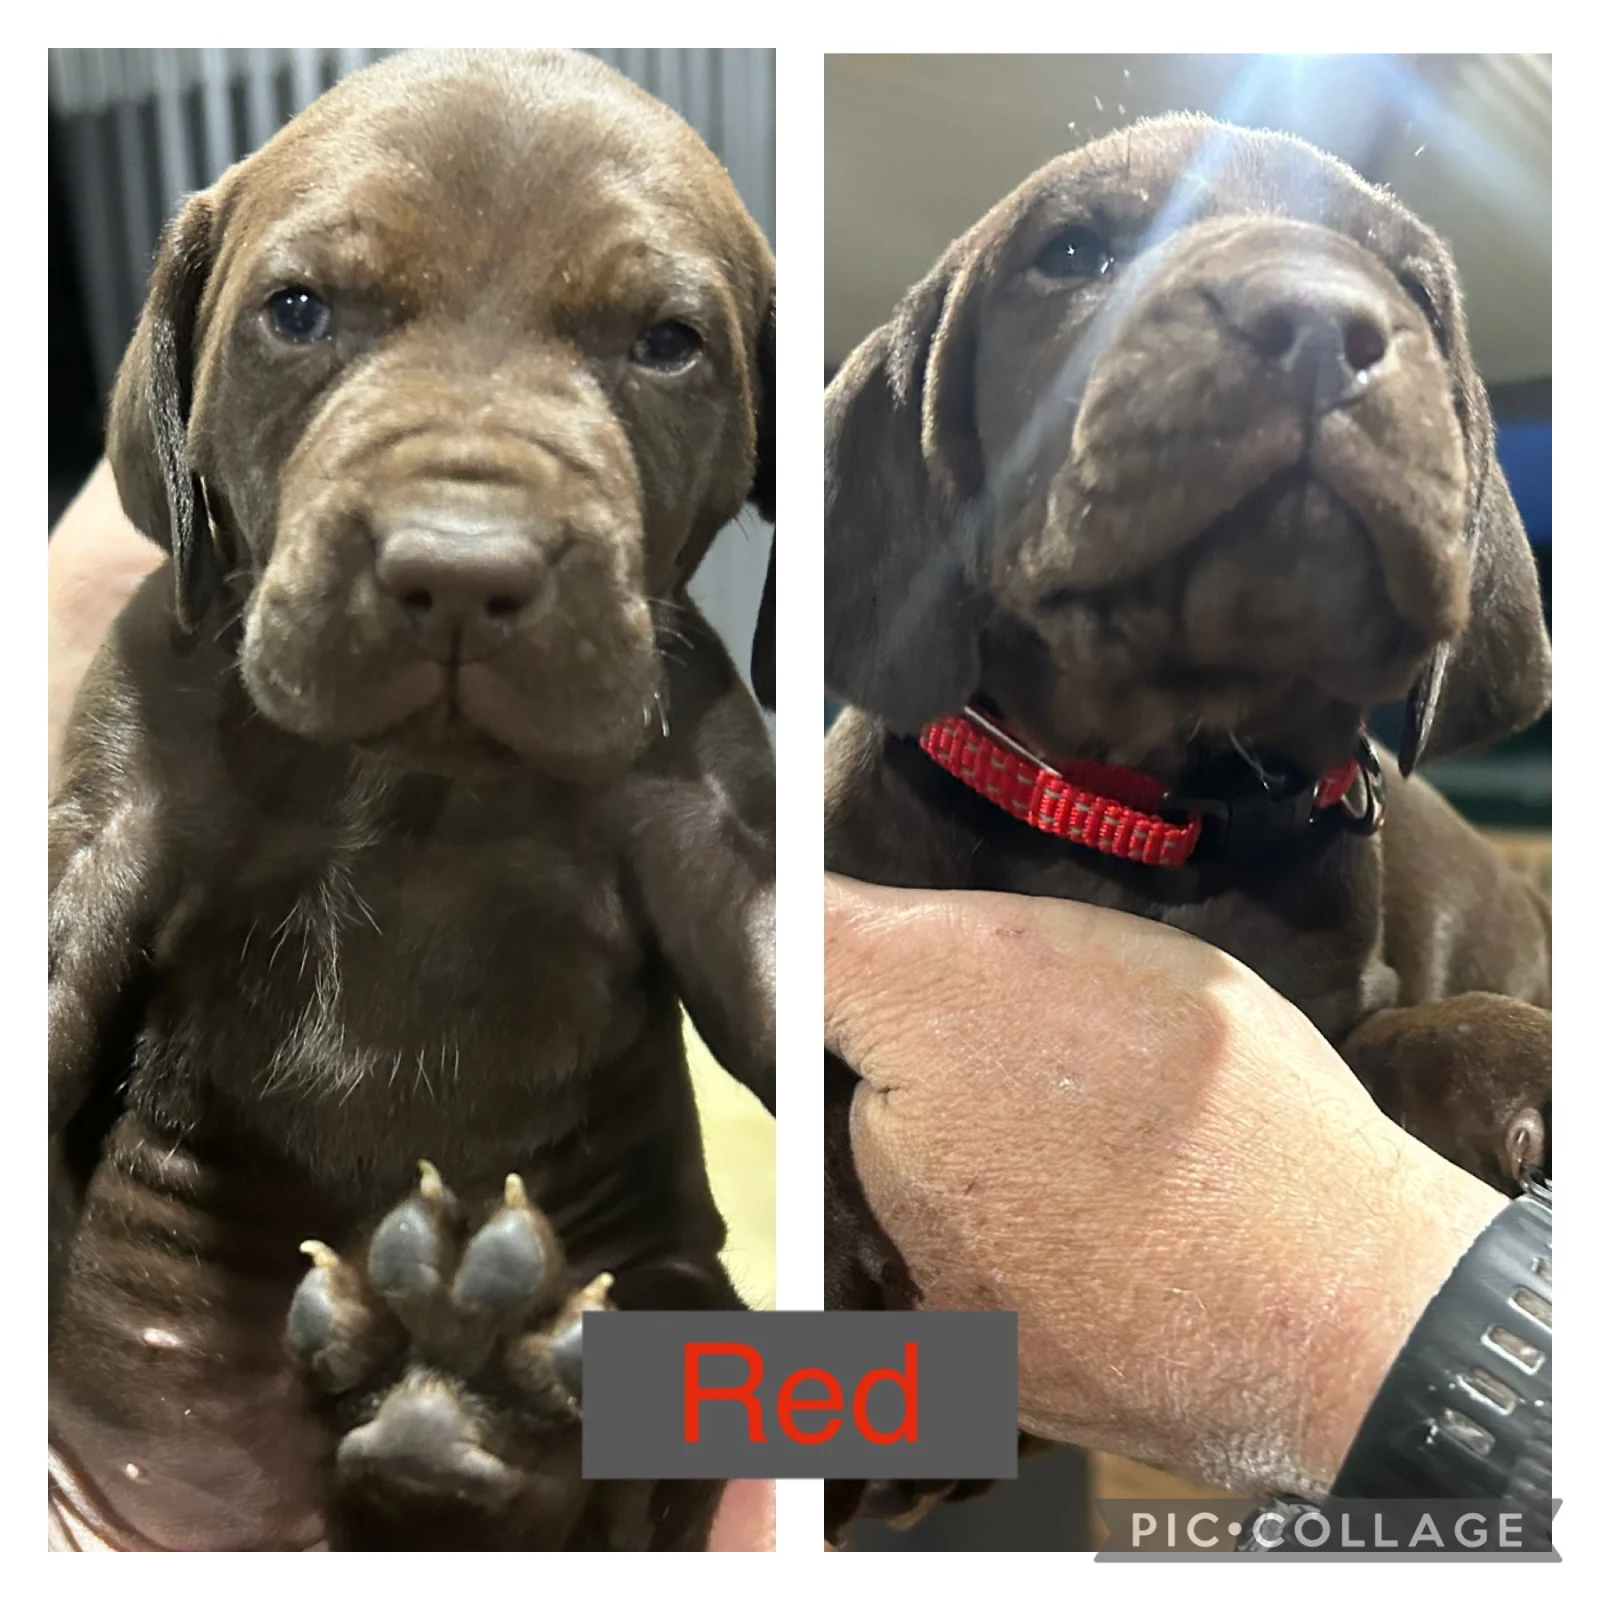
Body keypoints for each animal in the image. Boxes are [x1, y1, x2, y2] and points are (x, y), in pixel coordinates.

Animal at [49, 49, 776, 1551]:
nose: (458, 570)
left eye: (668, 342)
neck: (422, 775)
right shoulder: (111, 814)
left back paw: (474, 1383)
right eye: (298, 311)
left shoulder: (722, 842)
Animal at [822, 114, 1551, 1541]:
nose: (1317, 320)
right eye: (1072, 253)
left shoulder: (1336, 985)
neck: (1139, 811)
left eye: (1417, 289)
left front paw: (1520, 1063)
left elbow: (1384, 1036)